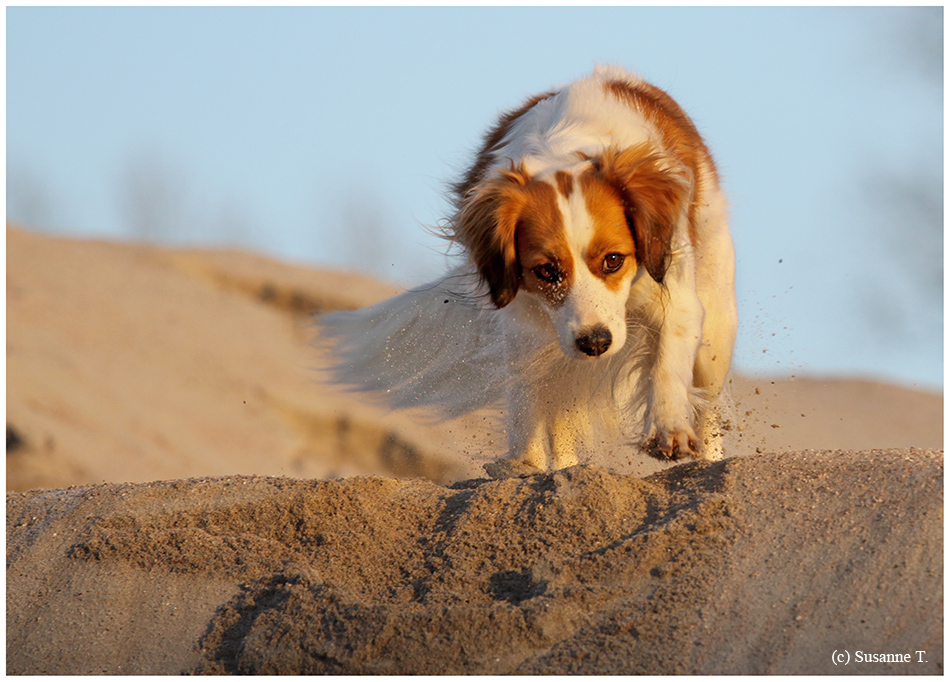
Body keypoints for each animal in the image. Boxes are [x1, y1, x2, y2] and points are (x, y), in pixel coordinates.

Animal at [316, 66, 740, 476]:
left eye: (613, 260)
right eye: (547, 271)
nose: (595, 344)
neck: (566, 155)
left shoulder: (674, 291)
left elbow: (668, 363)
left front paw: (668, 428)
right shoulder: (526, 330)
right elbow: (528, 402)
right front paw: (526, 462)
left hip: (716, 327)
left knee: (709, 404)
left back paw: (711, 462)